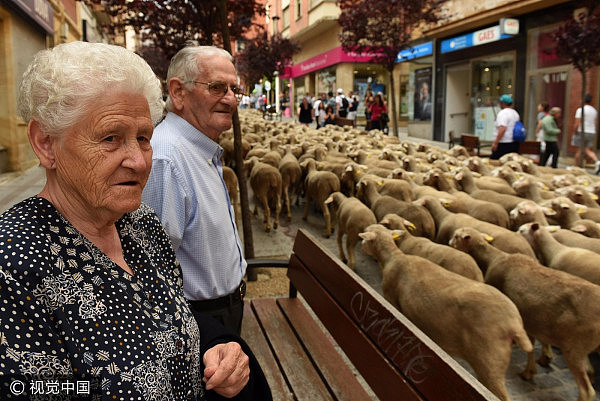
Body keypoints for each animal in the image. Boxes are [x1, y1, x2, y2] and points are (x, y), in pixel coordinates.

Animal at [358, 225, 532, 400]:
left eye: (365, 238)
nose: (361, 246)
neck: (394, 257)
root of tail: (514, 324)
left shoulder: (392, 301)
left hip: (490, 362)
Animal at [452, 225, 600, 400]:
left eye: (457, 236)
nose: (449, 243)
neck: (495, 258)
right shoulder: (531, 317)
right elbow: (531, 343)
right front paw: (534, 366)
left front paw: (531, 368)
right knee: (588, 371)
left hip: (574, 348)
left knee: (586, 390)